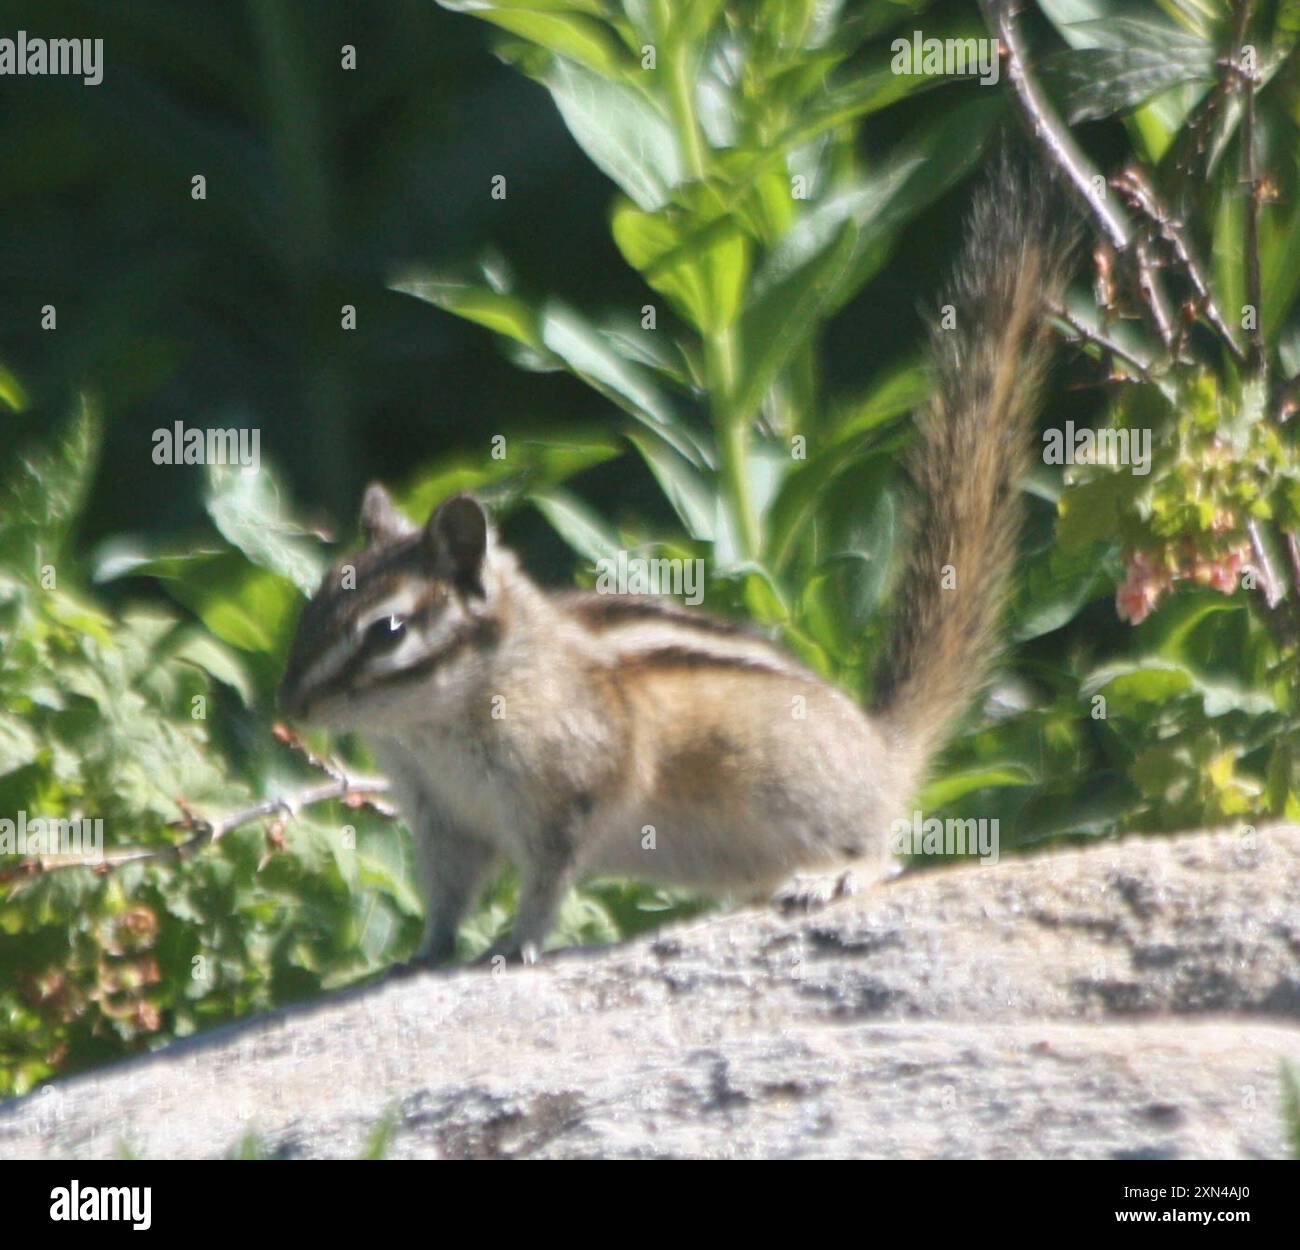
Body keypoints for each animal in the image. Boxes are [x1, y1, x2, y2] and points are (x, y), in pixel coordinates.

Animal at [279, 168, 1072, 966]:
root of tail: (883, 749)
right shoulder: (445, 820)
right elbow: (446, 896)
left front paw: (517, 943)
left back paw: (832, 876)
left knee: (884, 853)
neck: (441, 718)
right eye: (313, 601)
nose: (291, 708)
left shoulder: (572, 794)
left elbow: (548, 882)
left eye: (387, 631)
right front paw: (424, 954)